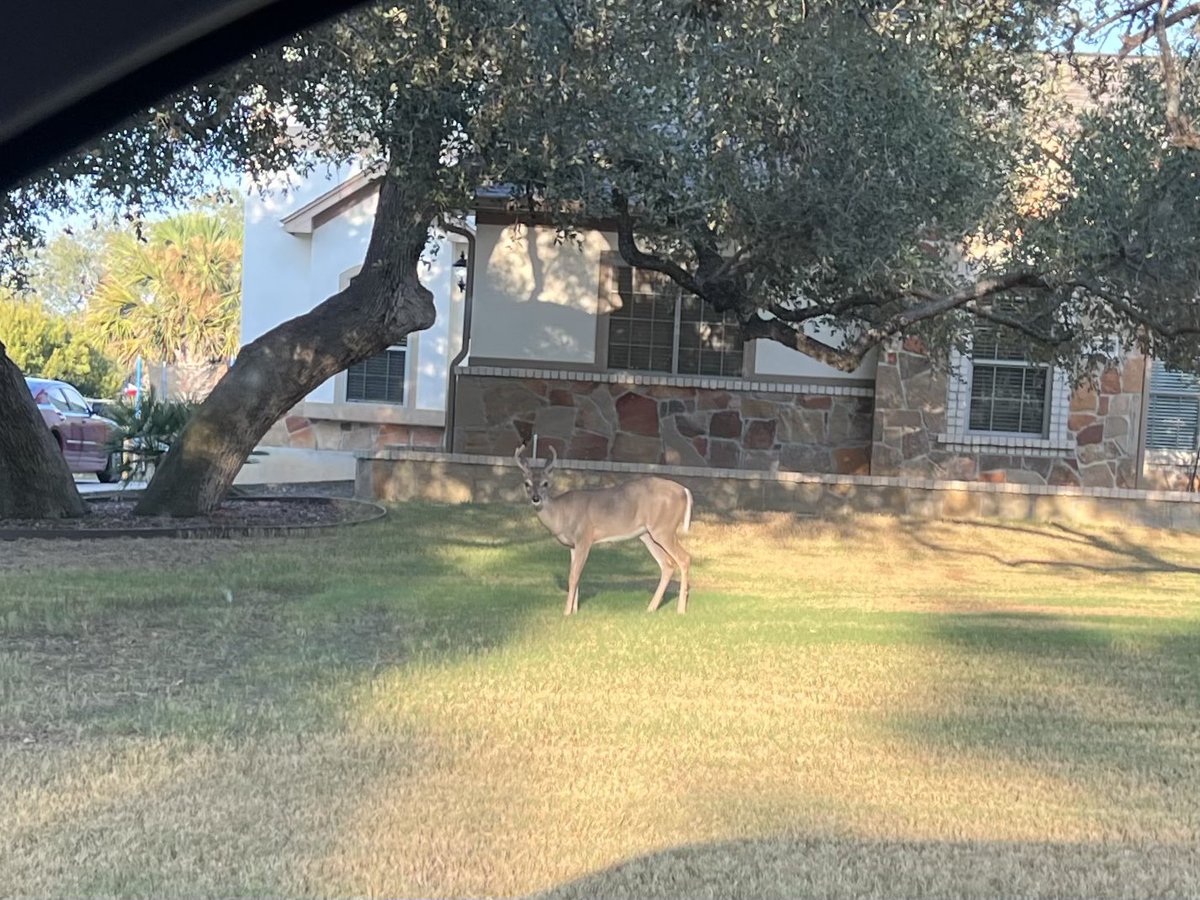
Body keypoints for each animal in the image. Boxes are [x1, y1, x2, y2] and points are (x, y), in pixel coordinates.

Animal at [515, 444, 693, 615]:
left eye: (545, 483)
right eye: (526, 484)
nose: (536, 498)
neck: (562, 514)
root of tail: (684, 491)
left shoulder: (584, 538)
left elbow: (573, 577)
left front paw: (566, 612)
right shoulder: (572, 545)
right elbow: (576, 575)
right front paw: (574, 611)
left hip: (664, 529)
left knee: (684, 558)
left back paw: (681, 610)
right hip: (648, 534)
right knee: (667, 564)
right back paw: (651, 608)